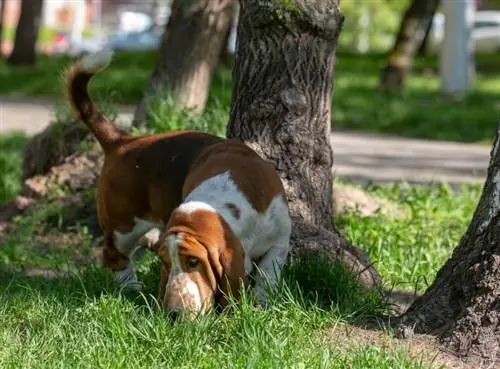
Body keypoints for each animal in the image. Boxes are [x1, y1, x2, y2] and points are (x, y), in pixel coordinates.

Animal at [154, 138, 292, 316]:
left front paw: (263, 307)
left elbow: (266, 277)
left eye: (193, 260)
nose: (172, 314)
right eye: (165, 262)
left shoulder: (279, 242)